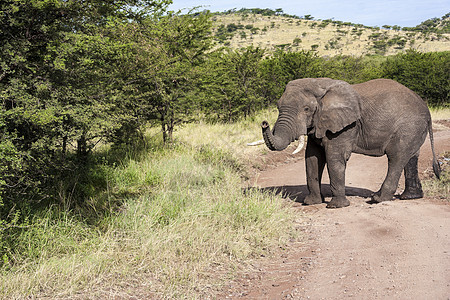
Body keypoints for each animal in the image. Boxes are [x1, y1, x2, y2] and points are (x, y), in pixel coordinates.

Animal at [262, 78, 442, 209]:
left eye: (306, 109)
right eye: (278, 107)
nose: (264, 123)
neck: (319, 86)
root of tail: (426, 110)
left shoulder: (346, 126)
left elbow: (334, 158)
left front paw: (336, 206)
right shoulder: (319, 124)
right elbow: (312, 158)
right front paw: (311, 203)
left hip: (408, 127)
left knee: (396, 158)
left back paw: (377, 199)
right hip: (414, 129)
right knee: (411, 158)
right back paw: (409, 197)